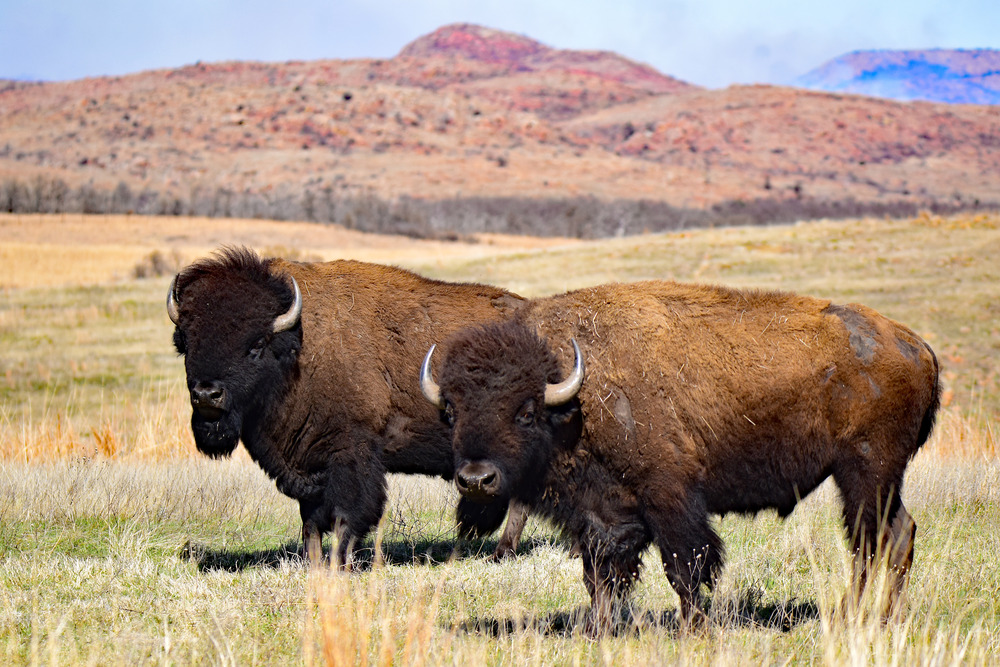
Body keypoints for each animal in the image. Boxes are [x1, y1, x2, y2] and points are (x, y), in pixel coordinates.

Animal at [166, 248, 532, 568]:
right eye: (186, 341)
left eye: (255, 344)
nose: (207, 395)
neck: (300, 348)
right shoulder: (307, 463)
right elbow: (310, 523)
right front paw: (314, 564)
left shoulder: (351, 456)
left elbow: (349, 516)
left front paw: (339, 563)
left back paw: (502, 553)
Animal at [420, 280, 936, 636]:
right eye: (452, 410)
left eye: (525, 411)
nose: (476, 478)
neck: (576, 399)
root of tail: (917, 346)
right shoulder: (599, 513)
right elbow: (599, 574)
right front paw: (597, 631)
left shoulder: (670, 498)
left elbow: (685, 566)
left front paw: (692, 630)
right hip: (878, 480)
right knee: (899, 535)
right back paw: (886, 619)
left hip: (865, 473)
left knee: (871, 541)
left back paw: (853, 617)